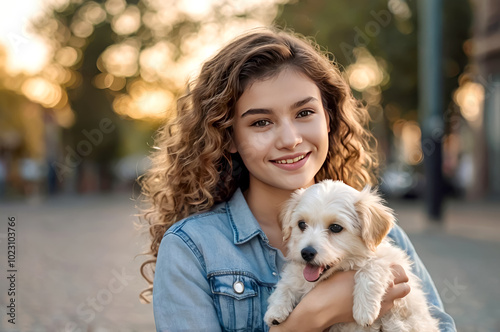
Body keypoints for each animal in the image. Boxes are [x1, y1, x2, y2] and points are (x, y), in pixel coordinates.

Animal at [264, 180, 440, 332]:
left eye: (335, 227)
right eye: (301, 224)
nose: (306, 252)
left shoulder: (391, 259)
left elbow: (370, 269)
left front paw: (364, 310)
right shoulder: (297, 271)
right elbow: (288, 282)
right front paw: (275, 309)